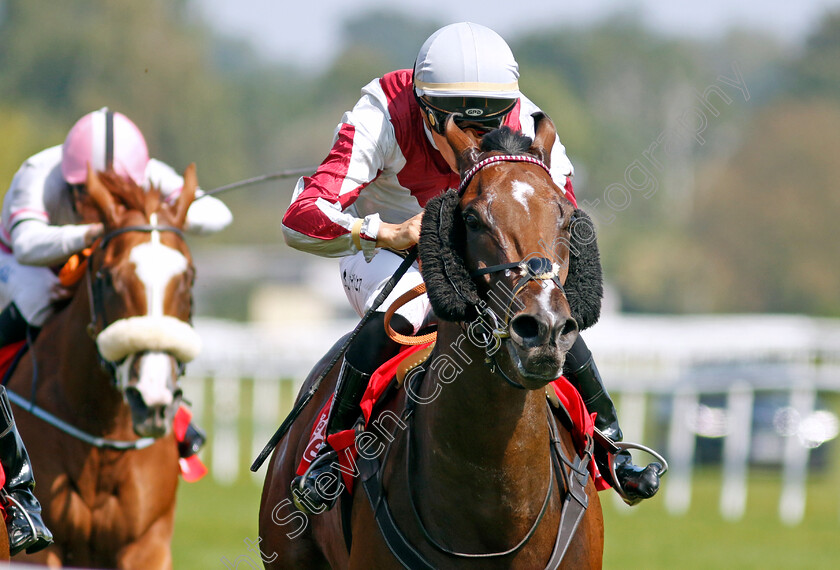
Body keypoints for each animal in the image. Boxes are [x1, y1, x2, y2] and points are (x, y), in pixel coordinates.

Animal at [7, 162, 200, 564]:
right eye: (109, 279)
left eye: (189, 278)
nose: (152, 402)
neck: (102, 436)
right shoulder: (41, 552)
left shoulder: (147, 545)